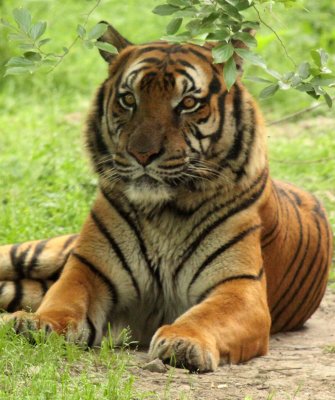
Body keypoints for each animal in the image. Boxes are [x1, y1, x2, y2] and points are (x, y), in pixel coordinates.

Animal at [0, 21, 332, 372]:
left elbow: (206, 315)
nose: (142, 154)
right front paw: (35, 324)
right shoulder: (88, 269)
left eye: (187, 103)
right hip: (37, 253)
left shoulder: (239, 287)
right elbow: (64, 302)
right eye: (128, 99)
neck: (163, 212)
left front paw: (183, 342)